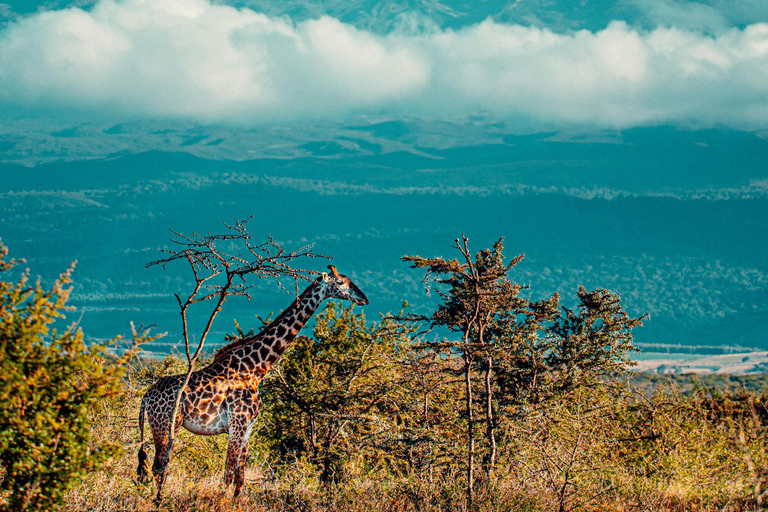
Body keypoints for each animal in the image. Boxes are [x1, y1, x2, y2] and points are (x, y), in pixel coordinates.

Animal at [136, 266, 368, 498]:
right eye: (340, 282)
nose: (363, 298)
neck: (255, 368)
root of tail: (146, 397)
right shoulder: (237, 424)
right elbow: (228, 475)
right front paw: (221, 502)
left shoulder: (248, 427)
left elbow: (240, 478)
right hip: (166, 426)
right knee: (157, 467)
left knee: (148, 469)